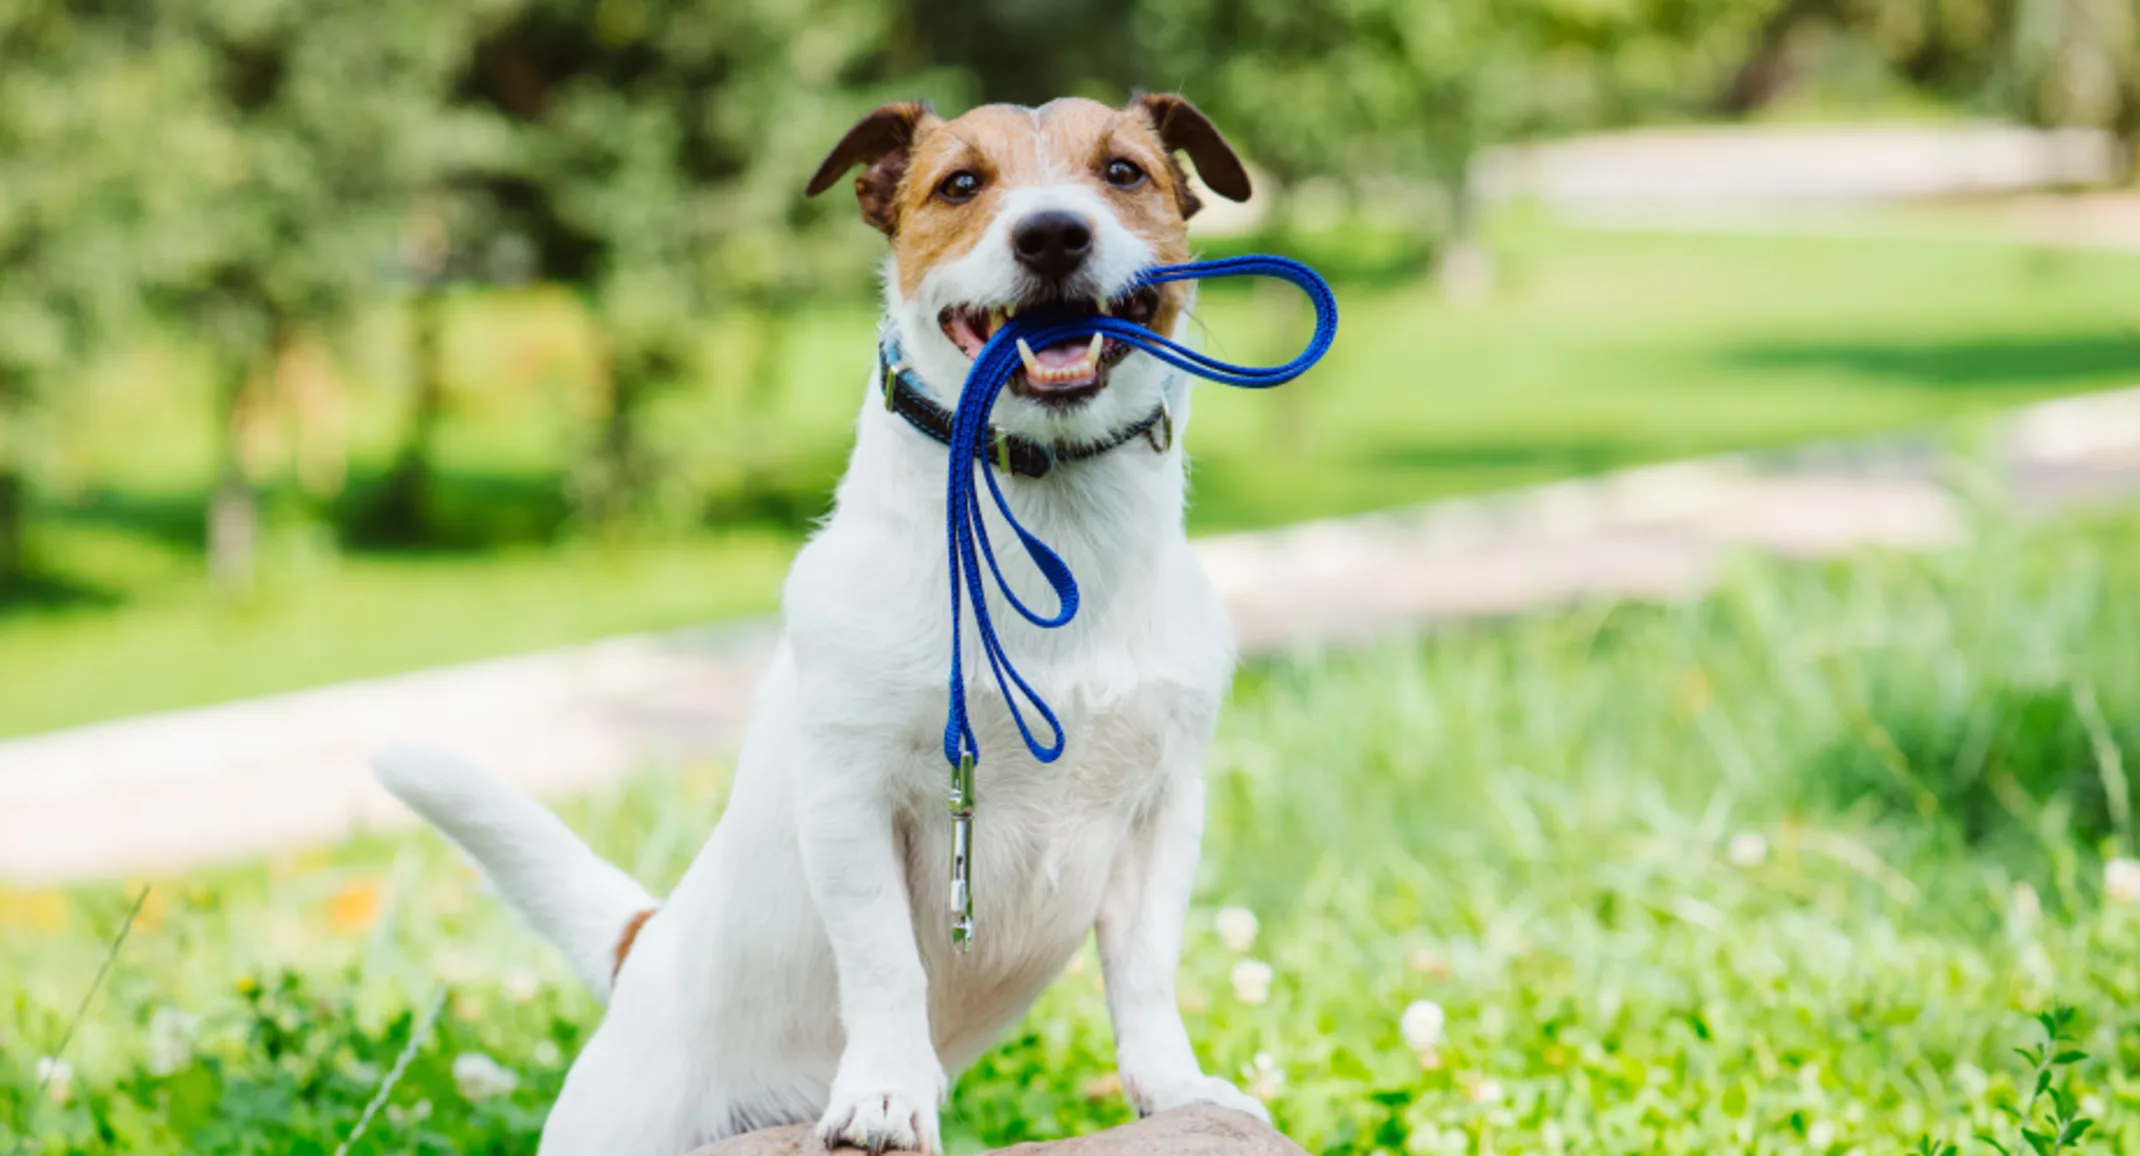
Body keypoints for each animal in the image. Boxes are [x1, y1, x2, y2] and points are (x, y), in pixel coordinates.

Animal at [378, 92, 1258, 1156]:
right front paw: (884, 1092)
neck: (1050, 526)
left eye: (1123, 172)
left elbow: (1145, 972)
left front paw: (1175, 1087)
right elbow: (882, 960)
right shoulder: (850, 794)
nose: (1052, 232)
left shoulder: (1163, 807)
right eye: (961, 184)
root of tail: (647, 950)